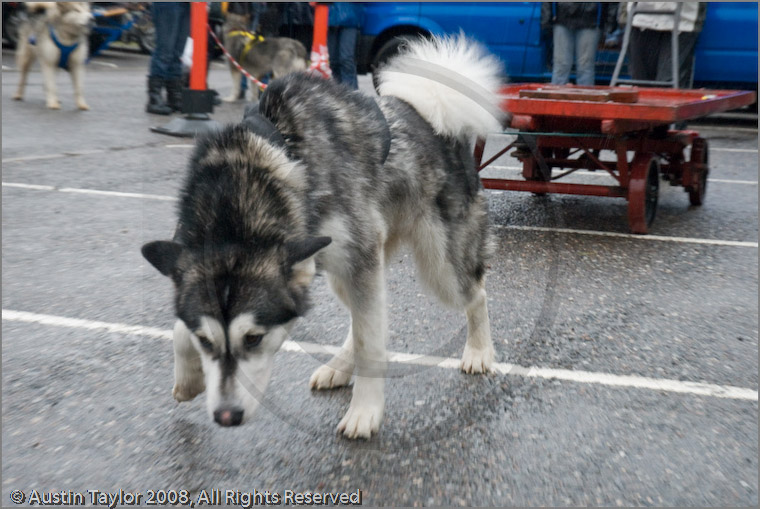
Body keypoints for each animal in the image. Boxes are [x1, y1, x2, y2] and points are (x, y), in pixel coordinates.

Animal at [145, 34, 508, 436]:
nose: (227, 416)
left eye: (254, 338)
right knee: (361, 319)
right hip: (347, 269)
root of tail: (428, 111)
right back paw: (339, 367)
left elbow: (371, 342)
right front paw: (188, 377)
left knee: (476, 295)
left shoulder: (359, 259)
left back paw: (479, 351)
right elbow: (180, 326)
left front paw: (365, 411)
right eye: (205, 341)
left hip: (438, 268)